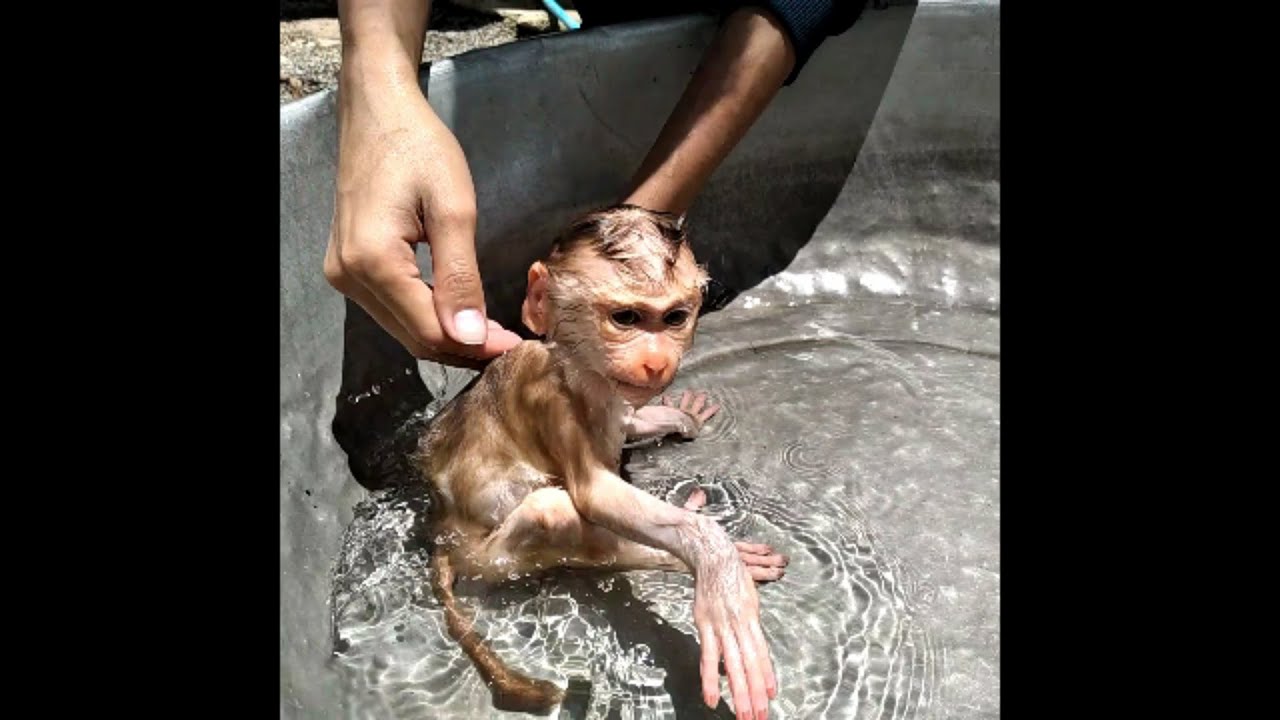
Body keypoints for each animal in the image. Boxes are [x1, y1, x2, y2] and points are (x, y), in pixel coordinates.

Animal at [418, 204, 786, 720]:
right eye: (626, 317)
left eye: (674, 317)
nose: (655, 362)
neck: (581, 375)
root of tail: (441, 536)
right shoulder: (543, 387)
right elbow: (594, 493)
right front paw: (715, 561)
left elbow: (627, 425)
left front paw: (678, 416)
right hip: (488, 561)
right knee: (552, 512)